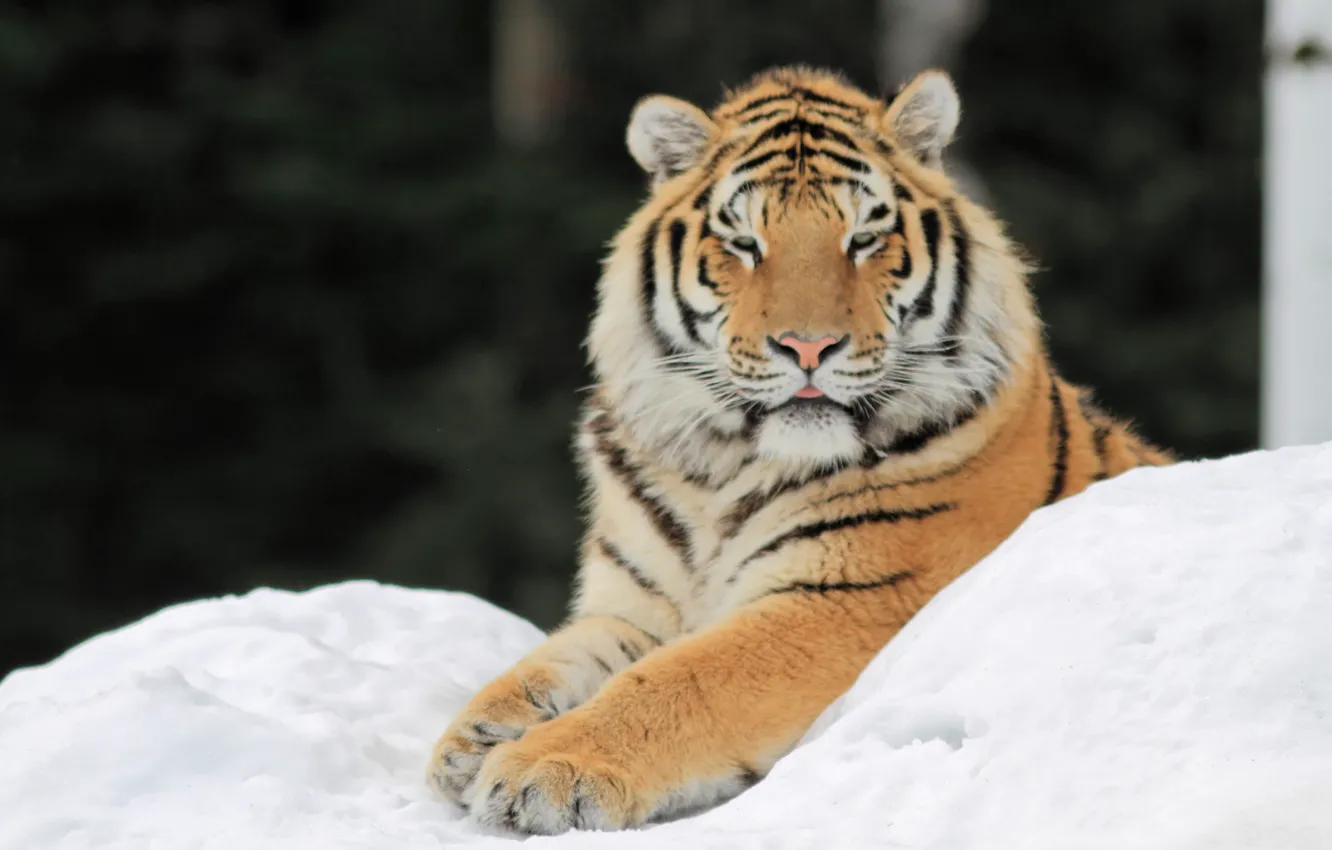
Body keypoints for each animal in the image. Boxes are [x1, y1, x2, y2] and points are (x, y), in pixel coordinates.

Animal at [427, 65, 1171, 835]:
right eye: (744, 243)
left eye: (865, 238)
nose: (808, 347)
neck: (716, 469)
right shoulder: (636, 603)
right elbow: (562, 655)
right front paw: (475, 734)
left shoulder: (842, 600)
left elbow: (678, 679)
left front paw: (544, 769)